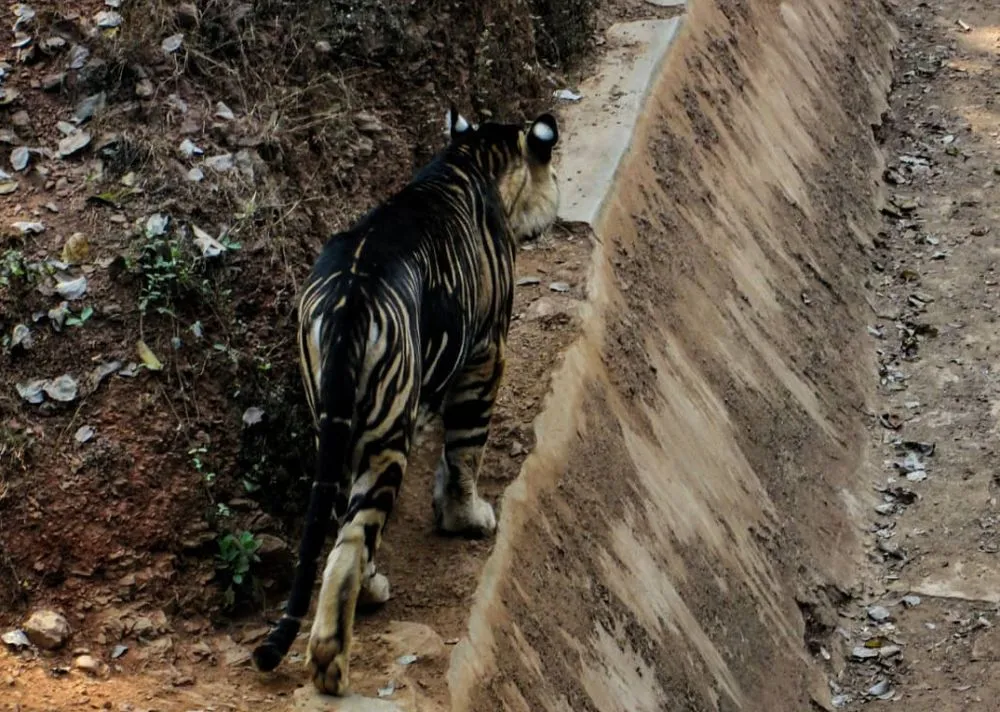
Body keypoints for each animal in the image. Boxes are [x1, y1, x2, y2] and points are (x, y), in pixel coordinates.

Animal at [252, 107, 564, 696]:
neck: (470, 156)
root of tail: (349, 298)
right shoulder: (486, 352)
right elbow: (466, 447)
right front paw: (467, 517)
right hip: (384, 433)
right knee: (351, 542)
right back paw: (331, 663)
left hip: (337, 423)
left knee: (343, 522)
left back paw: (369, 593)